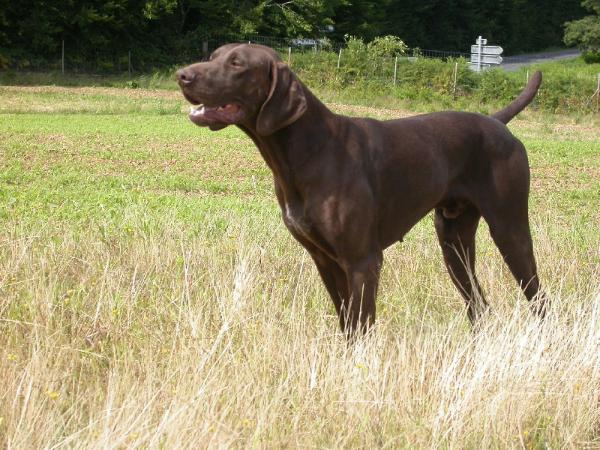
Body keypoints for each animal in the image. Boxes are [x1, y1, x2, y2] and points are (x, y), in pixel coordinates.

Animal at [175, 44, 548, 336]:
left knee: (538, 296)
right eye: (213, 56)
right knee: (478, 304)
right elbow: (347, 324)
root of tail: (497, 122)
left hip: (509, 229)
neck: (309, 150)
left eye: (237, 64)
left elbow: (362, 326)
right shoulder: (324, 260)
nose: (182, 75)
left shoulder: (362, 261)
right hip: (453, 241)